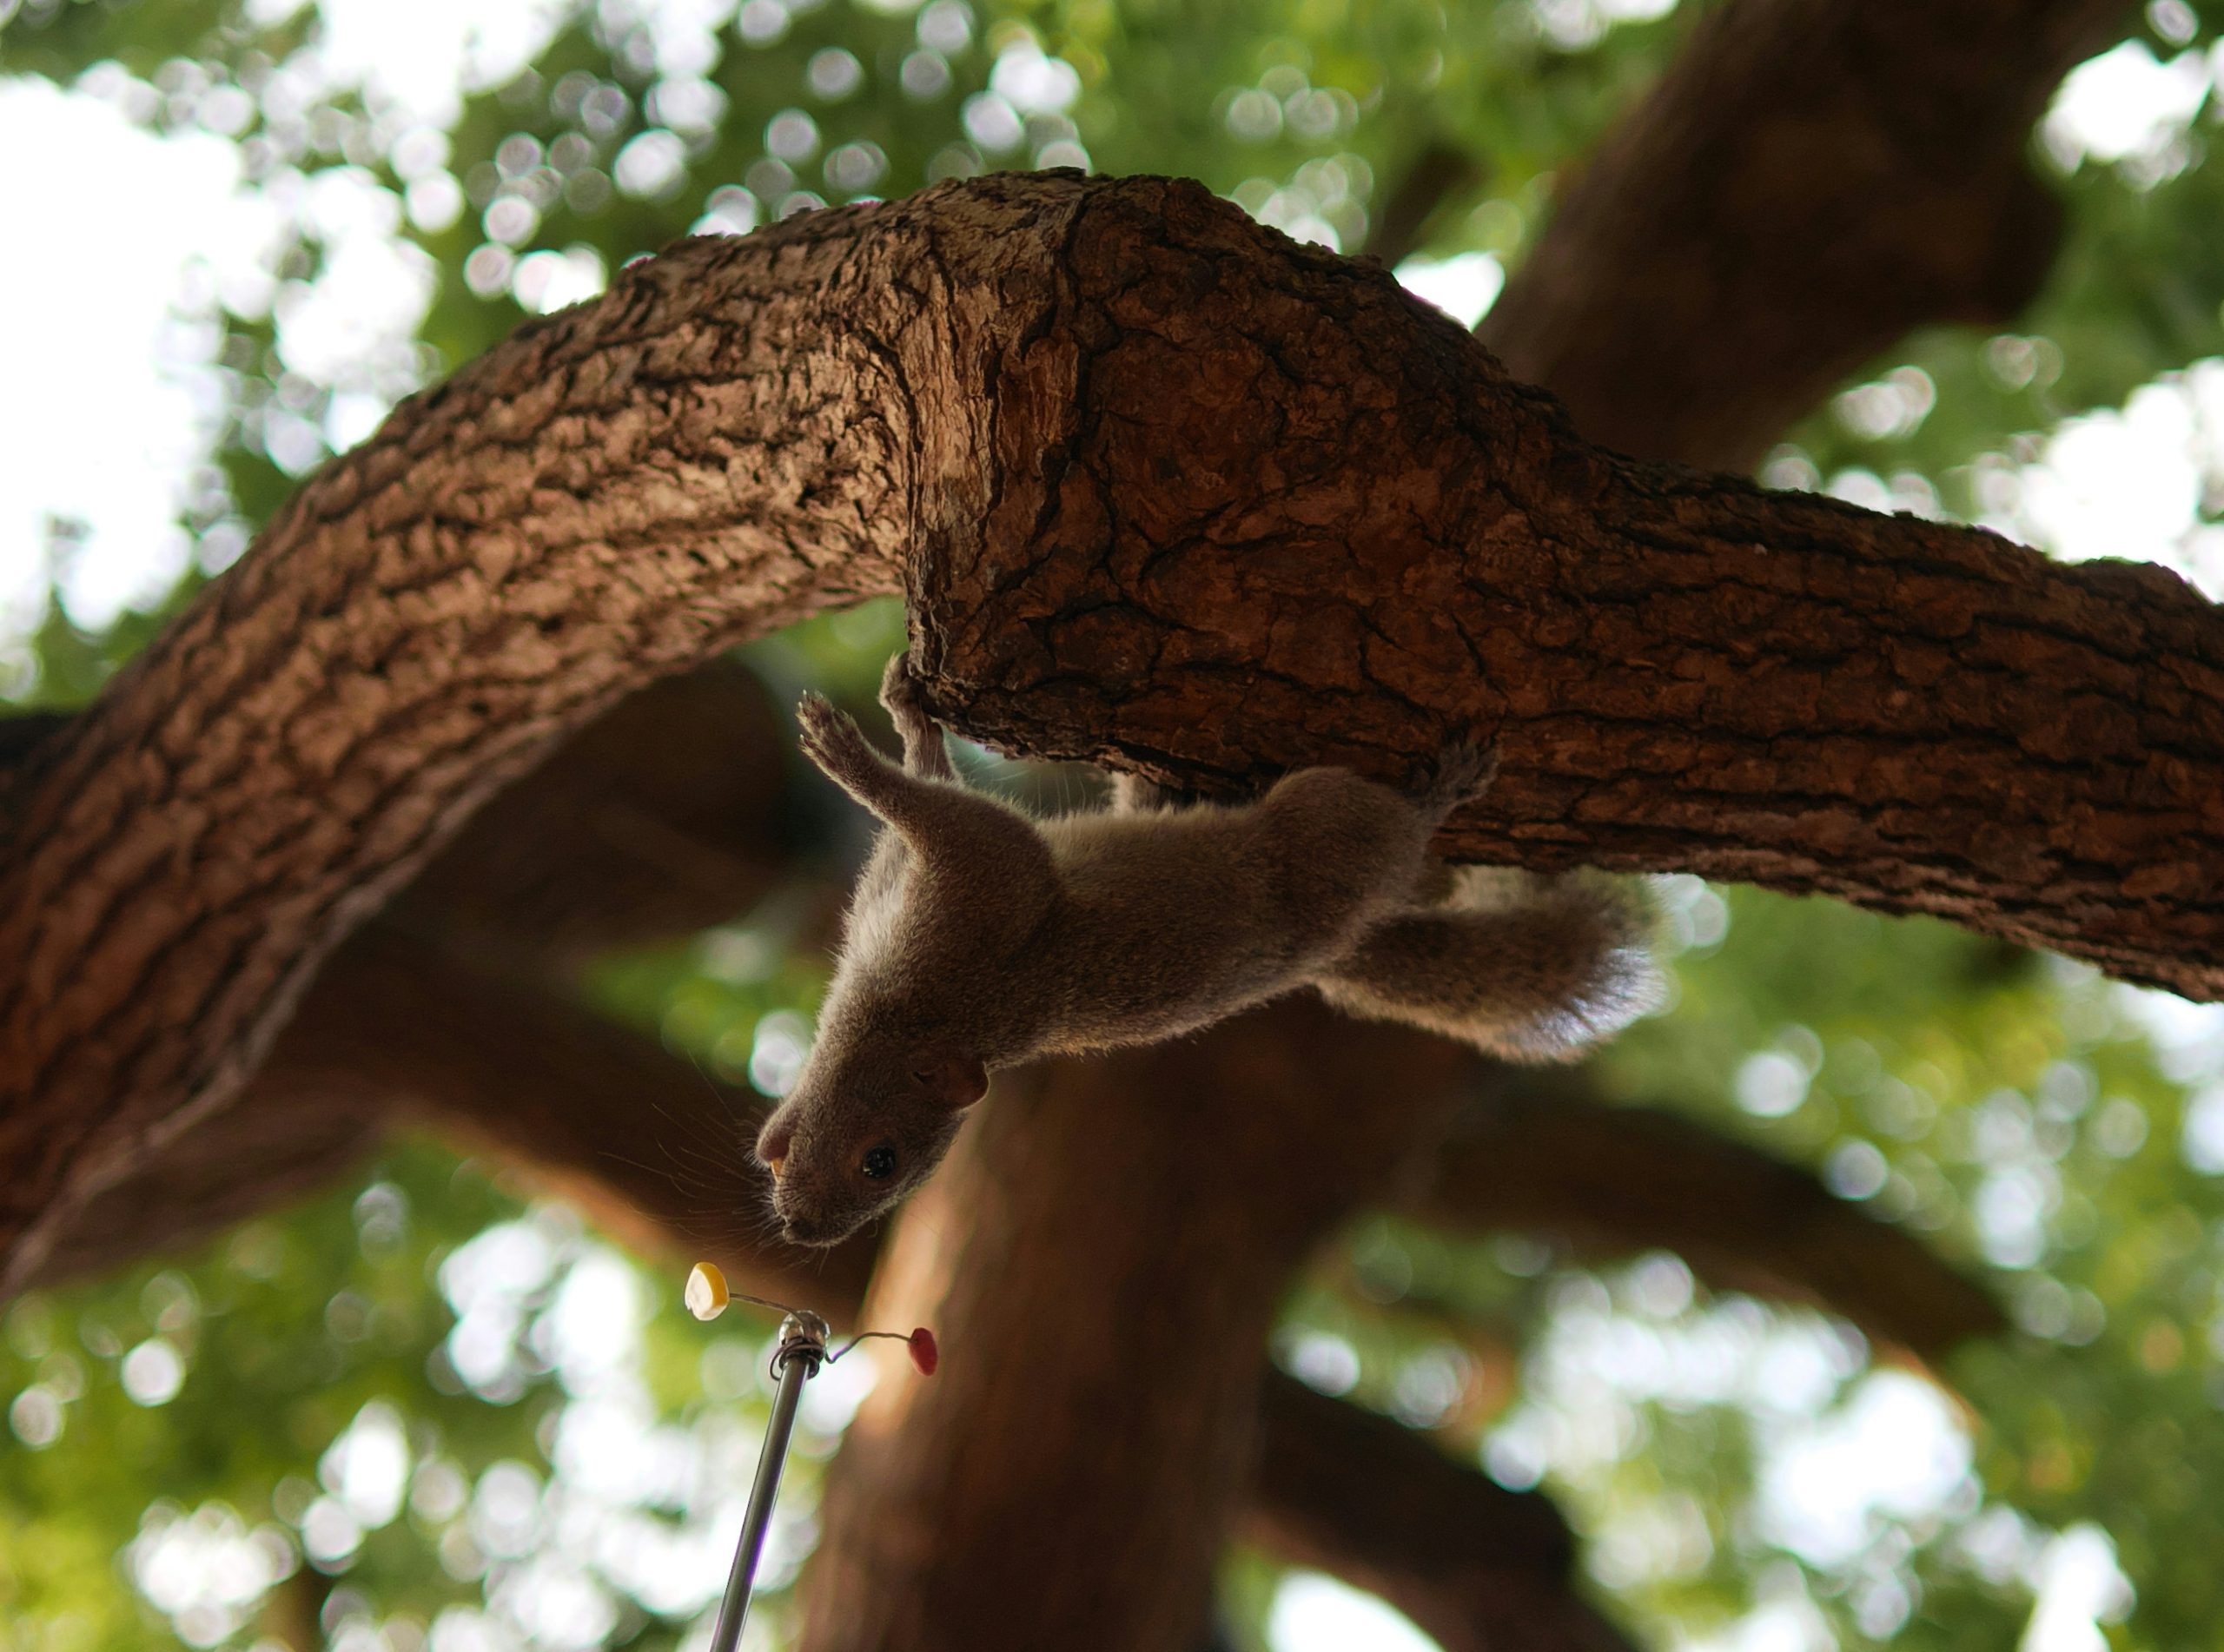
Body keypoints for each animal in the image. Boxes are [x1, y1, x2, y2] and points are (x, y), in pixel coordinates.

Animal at [754, 655, 1656, 1245]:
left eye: (880, 1163)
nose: (803, 1233)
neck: (908, 1018)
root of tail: (1349, 937)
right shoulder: (902, 886)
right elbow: (933, 777)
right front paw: (905, 719)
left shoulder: (984, 894)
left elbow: (955, 812)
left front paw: (846, 749)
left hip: (1325, 821)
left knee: (1397, 822)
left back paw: (1446, 788)